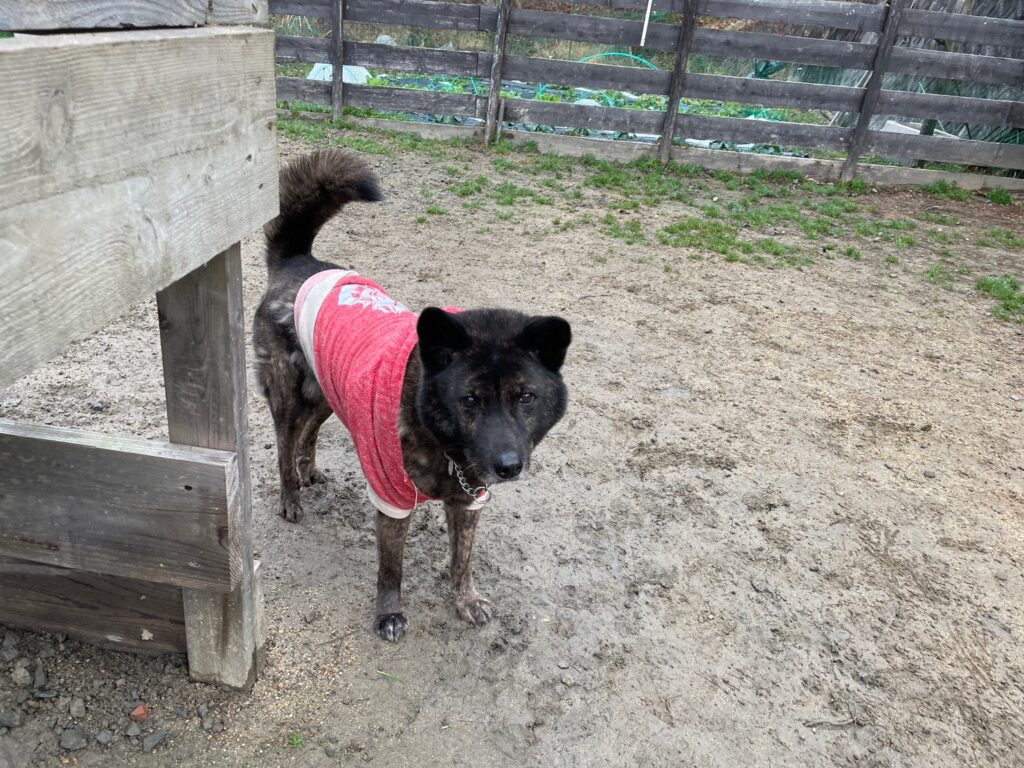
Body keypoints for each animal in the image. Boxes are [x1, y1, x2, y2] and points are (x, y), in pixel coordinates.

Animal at [252, 150, 571, 641]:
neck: (442, 441)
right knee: (286, 442)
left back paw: (310, 471)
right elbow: (391, 569)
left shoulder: (469, 501)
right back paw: (291, 496)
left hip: (328, 392)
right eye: (470, 399)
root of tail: (298, 262)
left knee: (308, 431)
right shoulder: (391, 500)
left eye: (526, 398)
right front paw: (389, 615)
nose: (508, 467)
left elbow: (462, 560)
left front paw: (466, 601)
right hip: (288, 393)